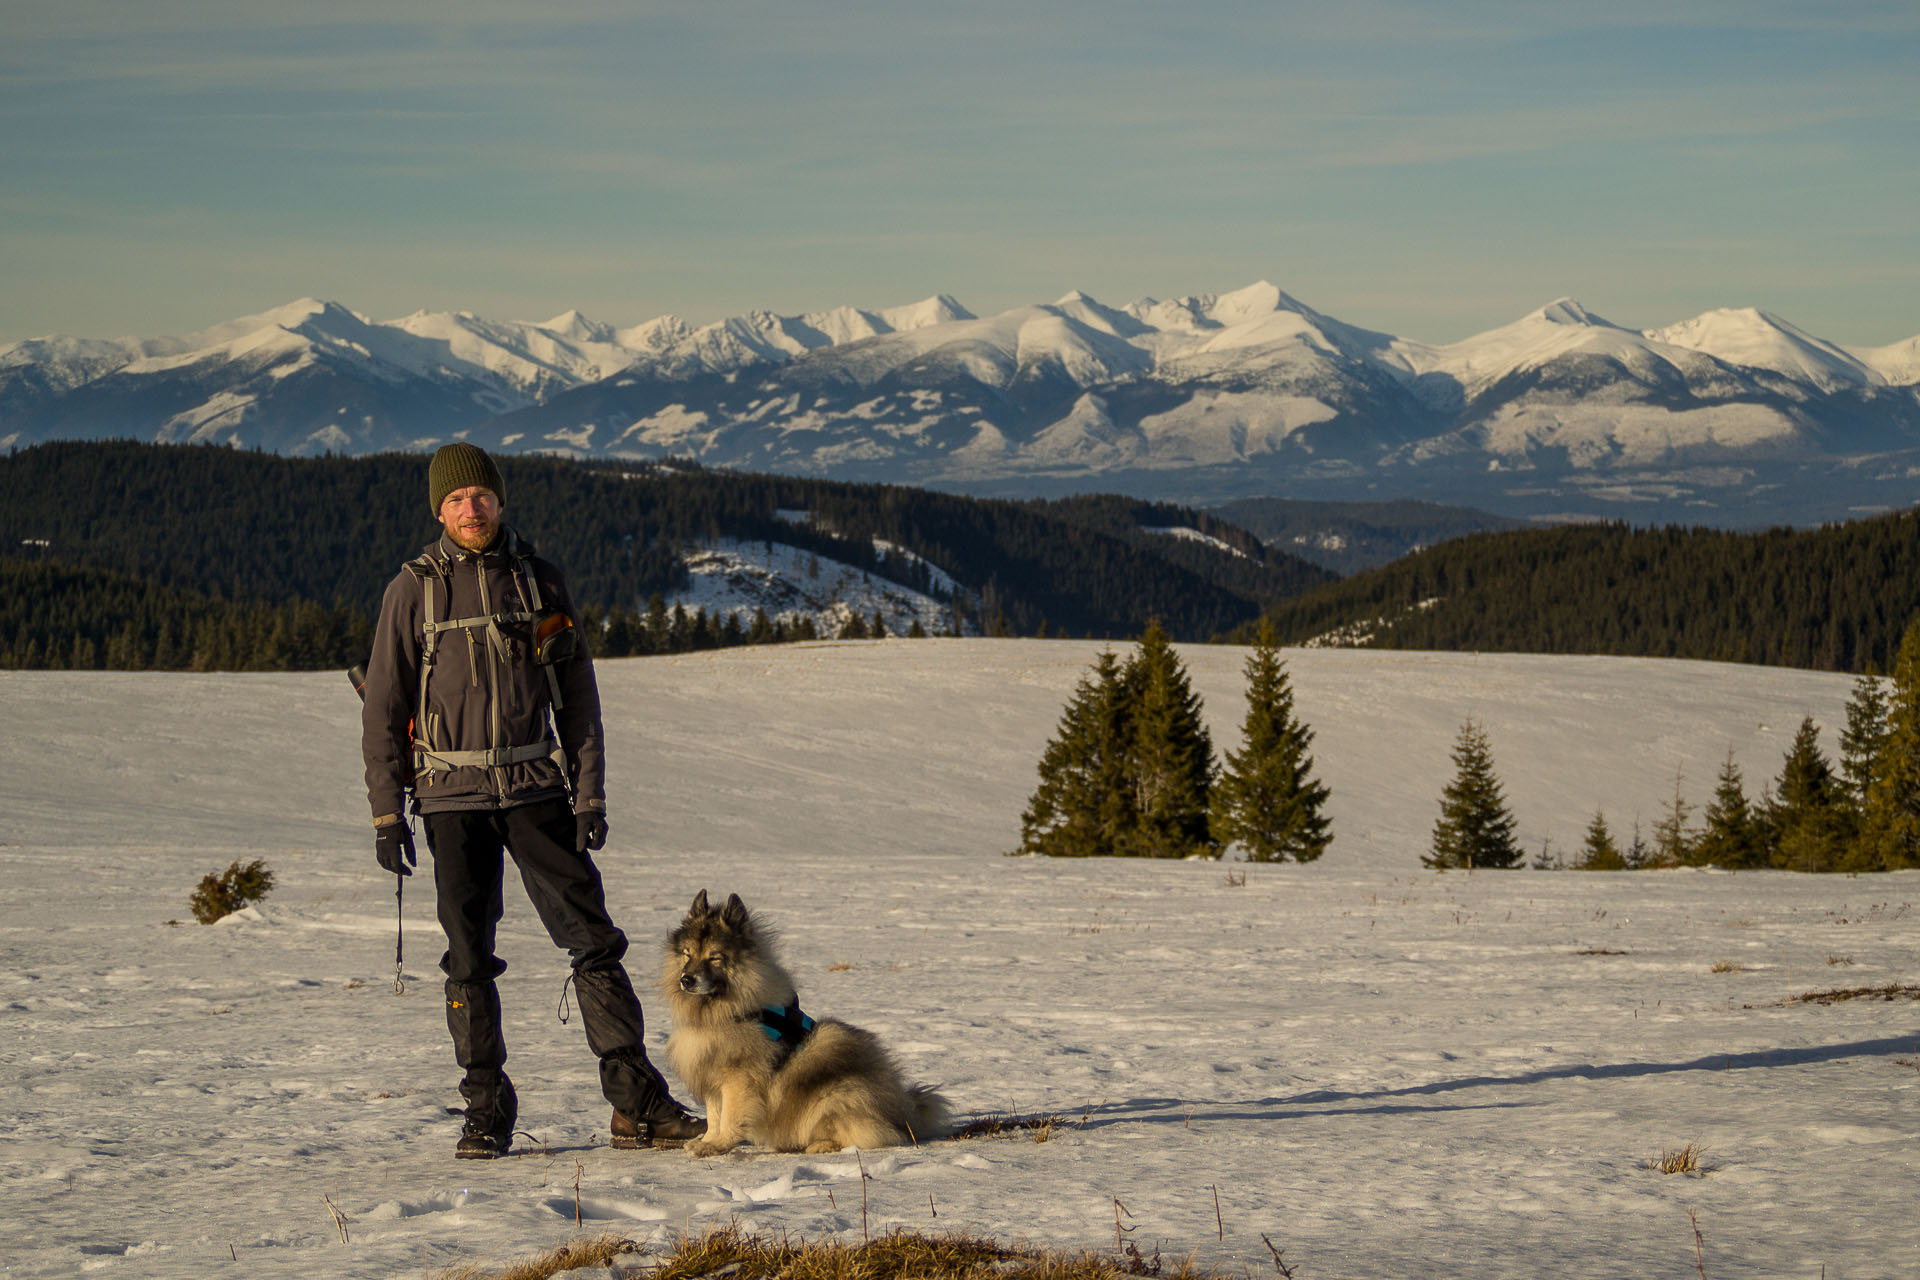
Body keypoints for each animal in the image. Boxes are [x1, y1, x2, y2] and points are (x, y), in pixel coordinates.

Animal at [664, 890, 956, 1159]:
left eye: (715, 957)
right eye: (687, 954)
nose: (686, 979)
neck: (725, 1011)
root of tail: (902, 1115)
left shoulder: (739, 1079)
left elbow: (729, 1117)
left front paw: (717, 1145)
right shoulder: (711, 1074)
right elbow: (715, 1115)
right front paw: (707, 1141)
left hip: (837, 1091)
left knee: (869, 1135)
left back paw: (821, 1145)